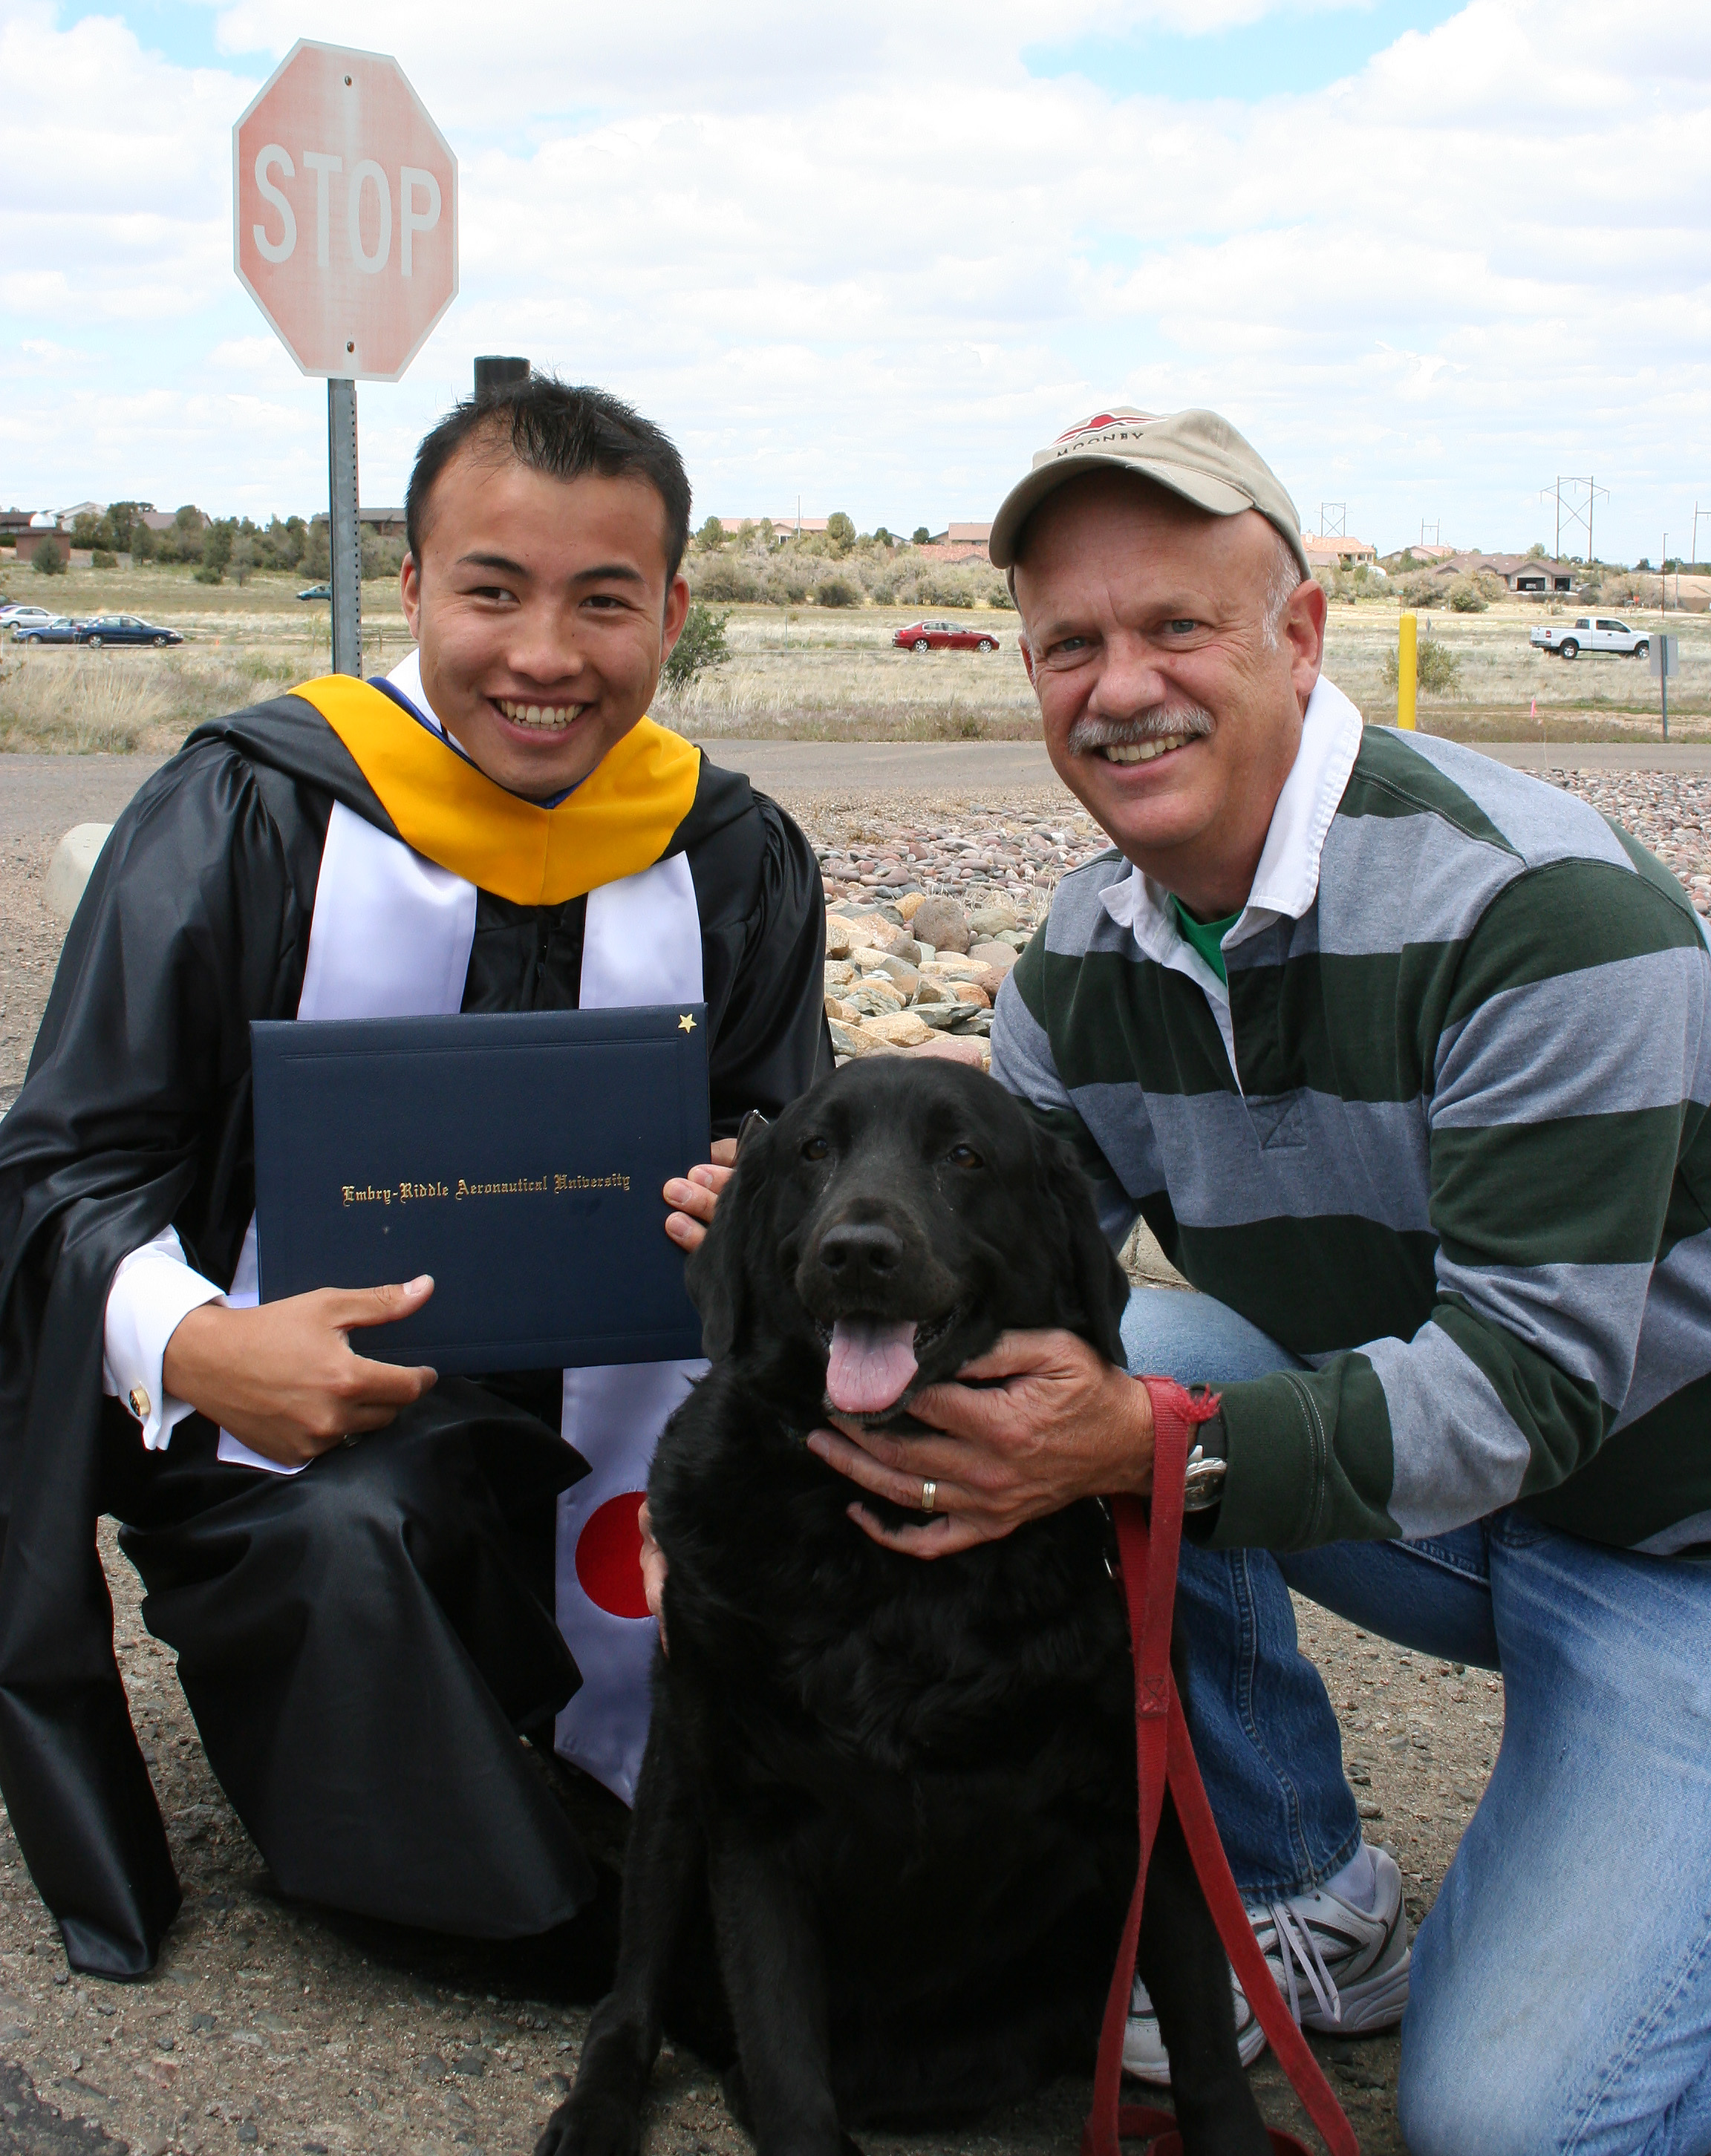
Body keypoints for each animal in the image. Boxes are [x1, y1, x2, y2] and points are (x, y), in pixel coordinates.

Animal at [535, 1056, 1268, 2156]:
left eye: (963, 1154)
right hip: (673, 1786)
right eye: (813, 1151)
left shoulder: (1152, 1798)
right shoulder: (752, 1812)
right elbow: (789, 2074)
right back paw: (595, 2113)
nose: (857, 1253)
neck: (890, 1563)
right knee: (633, 2005)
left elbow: (1211, 2058)